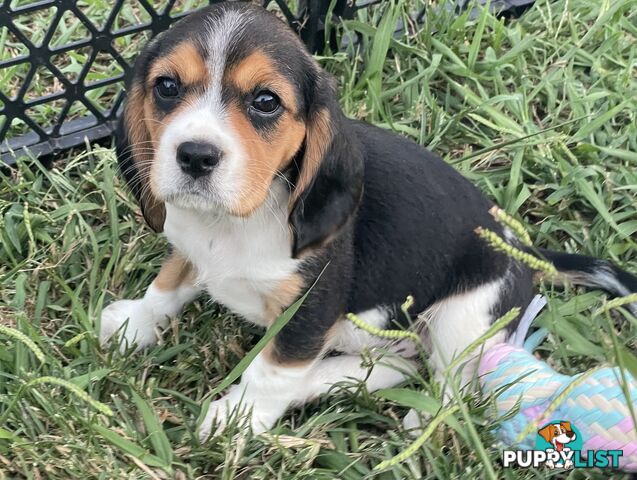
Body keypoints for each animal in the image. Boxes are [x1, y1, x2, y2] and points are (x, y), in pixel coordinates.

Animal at [99, 1, 636, 440]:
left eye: (266, 101)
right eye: (167, 87)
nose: (195, 155)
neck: (230, 223)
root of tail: (524, 250)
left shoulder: (310, 308)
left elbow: (271, 370)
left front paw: (239, 417)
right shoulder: (187, 248)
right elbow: (167, 286)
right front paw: (133, 323)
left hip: (464, 316)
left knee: (451, 384)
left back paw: (418, 420)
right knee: (398, 364)